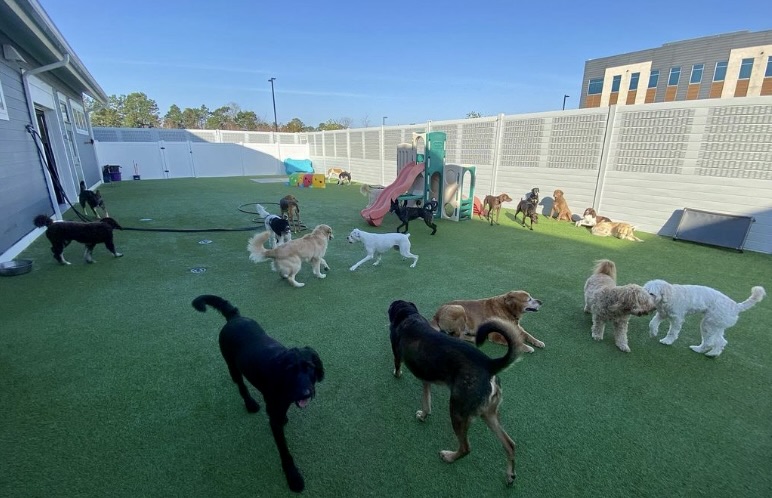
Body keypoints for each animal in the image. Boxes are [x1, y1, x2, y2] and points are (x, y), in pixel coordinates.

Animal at [196, 294, 326, 492]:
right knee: (241, 386)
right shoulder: (274, 418)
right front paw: (293, 476)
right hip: (232, 367)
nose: (305, 393)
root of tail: (234, 317)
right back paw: (250, 404)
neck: (284, 383)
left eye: (310, 367)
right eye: (291, 370)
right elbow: (284, 451)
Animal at [390, 300, 520, 486]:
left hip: (458, 412)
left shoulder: (397, 352)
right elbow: (426, 401)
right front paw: (424, 415)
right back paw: (510, 475)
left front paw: (397, 374)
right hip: (488, 414)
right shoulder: (426, 379)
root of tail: (489, 364)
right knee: (510, 444)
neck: (409, 316)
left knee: (466, 448)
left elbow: (397, 365)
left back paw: (450, 457)